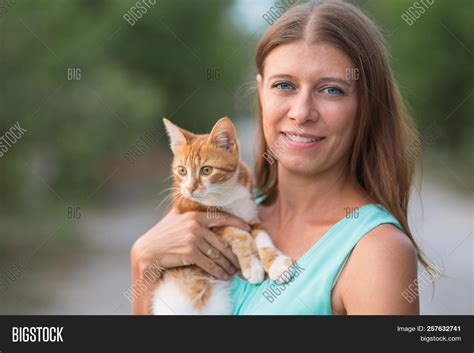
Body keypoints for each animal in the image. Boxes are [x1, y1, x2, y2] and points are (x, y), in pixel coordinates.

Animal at [152, 117, 292, 314]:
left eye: (206, 170)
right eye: (182, 170)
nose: (190, 189)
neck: (225, 195)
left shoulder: (251, 215)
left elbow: (263, 238)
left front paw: (277, 264)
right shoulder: (198, 216)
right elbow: (238, 233)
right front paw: (252, 264)